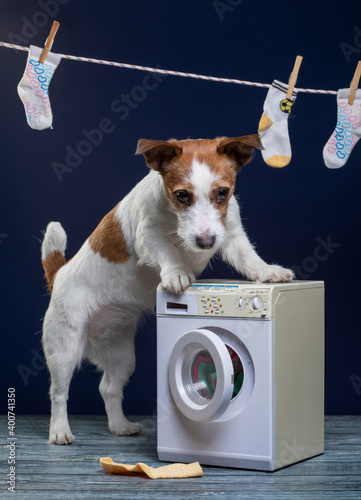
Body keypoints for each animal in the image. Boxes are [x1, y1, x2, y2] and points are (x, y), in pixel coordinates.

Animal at [40, 134, 292, 446]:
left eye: (223, 192)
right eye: (182, 195)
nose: (206, 242)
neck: (173, 219)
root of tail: (58, 273)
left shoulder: (230, 234)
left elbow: (248, 258)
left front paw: (268, 271)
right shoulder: (147, 236)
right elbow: (167, 251)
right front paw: (176, 273)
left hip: (122, 356)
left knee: (108, 387)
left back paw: (120, 426)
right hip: (64, 350)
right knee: (58, 393)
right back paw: (59, 430)